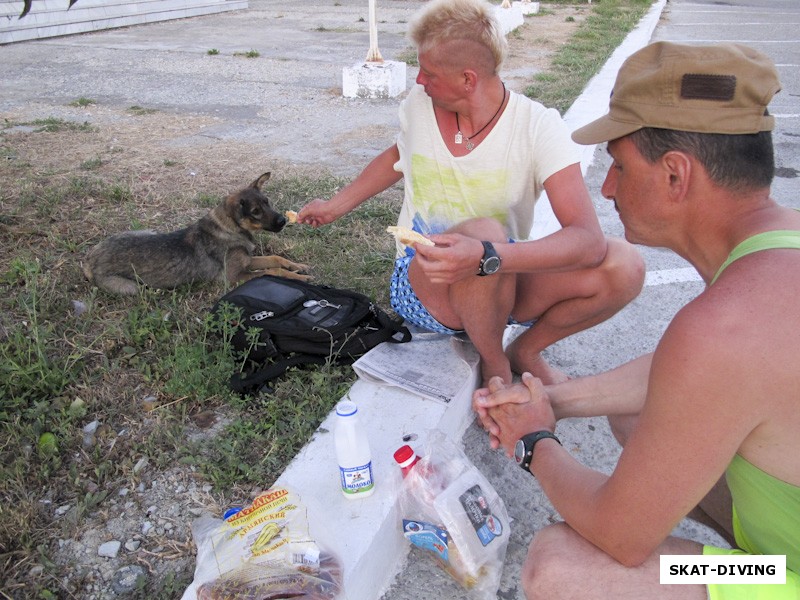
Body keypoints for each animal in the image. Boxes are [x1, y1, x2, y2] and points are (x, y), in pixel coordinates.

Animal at [83, 171, 310, 296]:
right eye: (255, 212)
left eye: (267, 202)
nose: (283, 221)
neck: (230, 229)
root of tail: (89, 260)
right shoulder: (232, 277)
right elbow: (272, 271)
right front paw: (297, 277)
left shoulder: (248, 260)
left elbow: (275, 258)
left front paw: (298, 266)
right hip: (130, 287)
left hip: (145, 231)